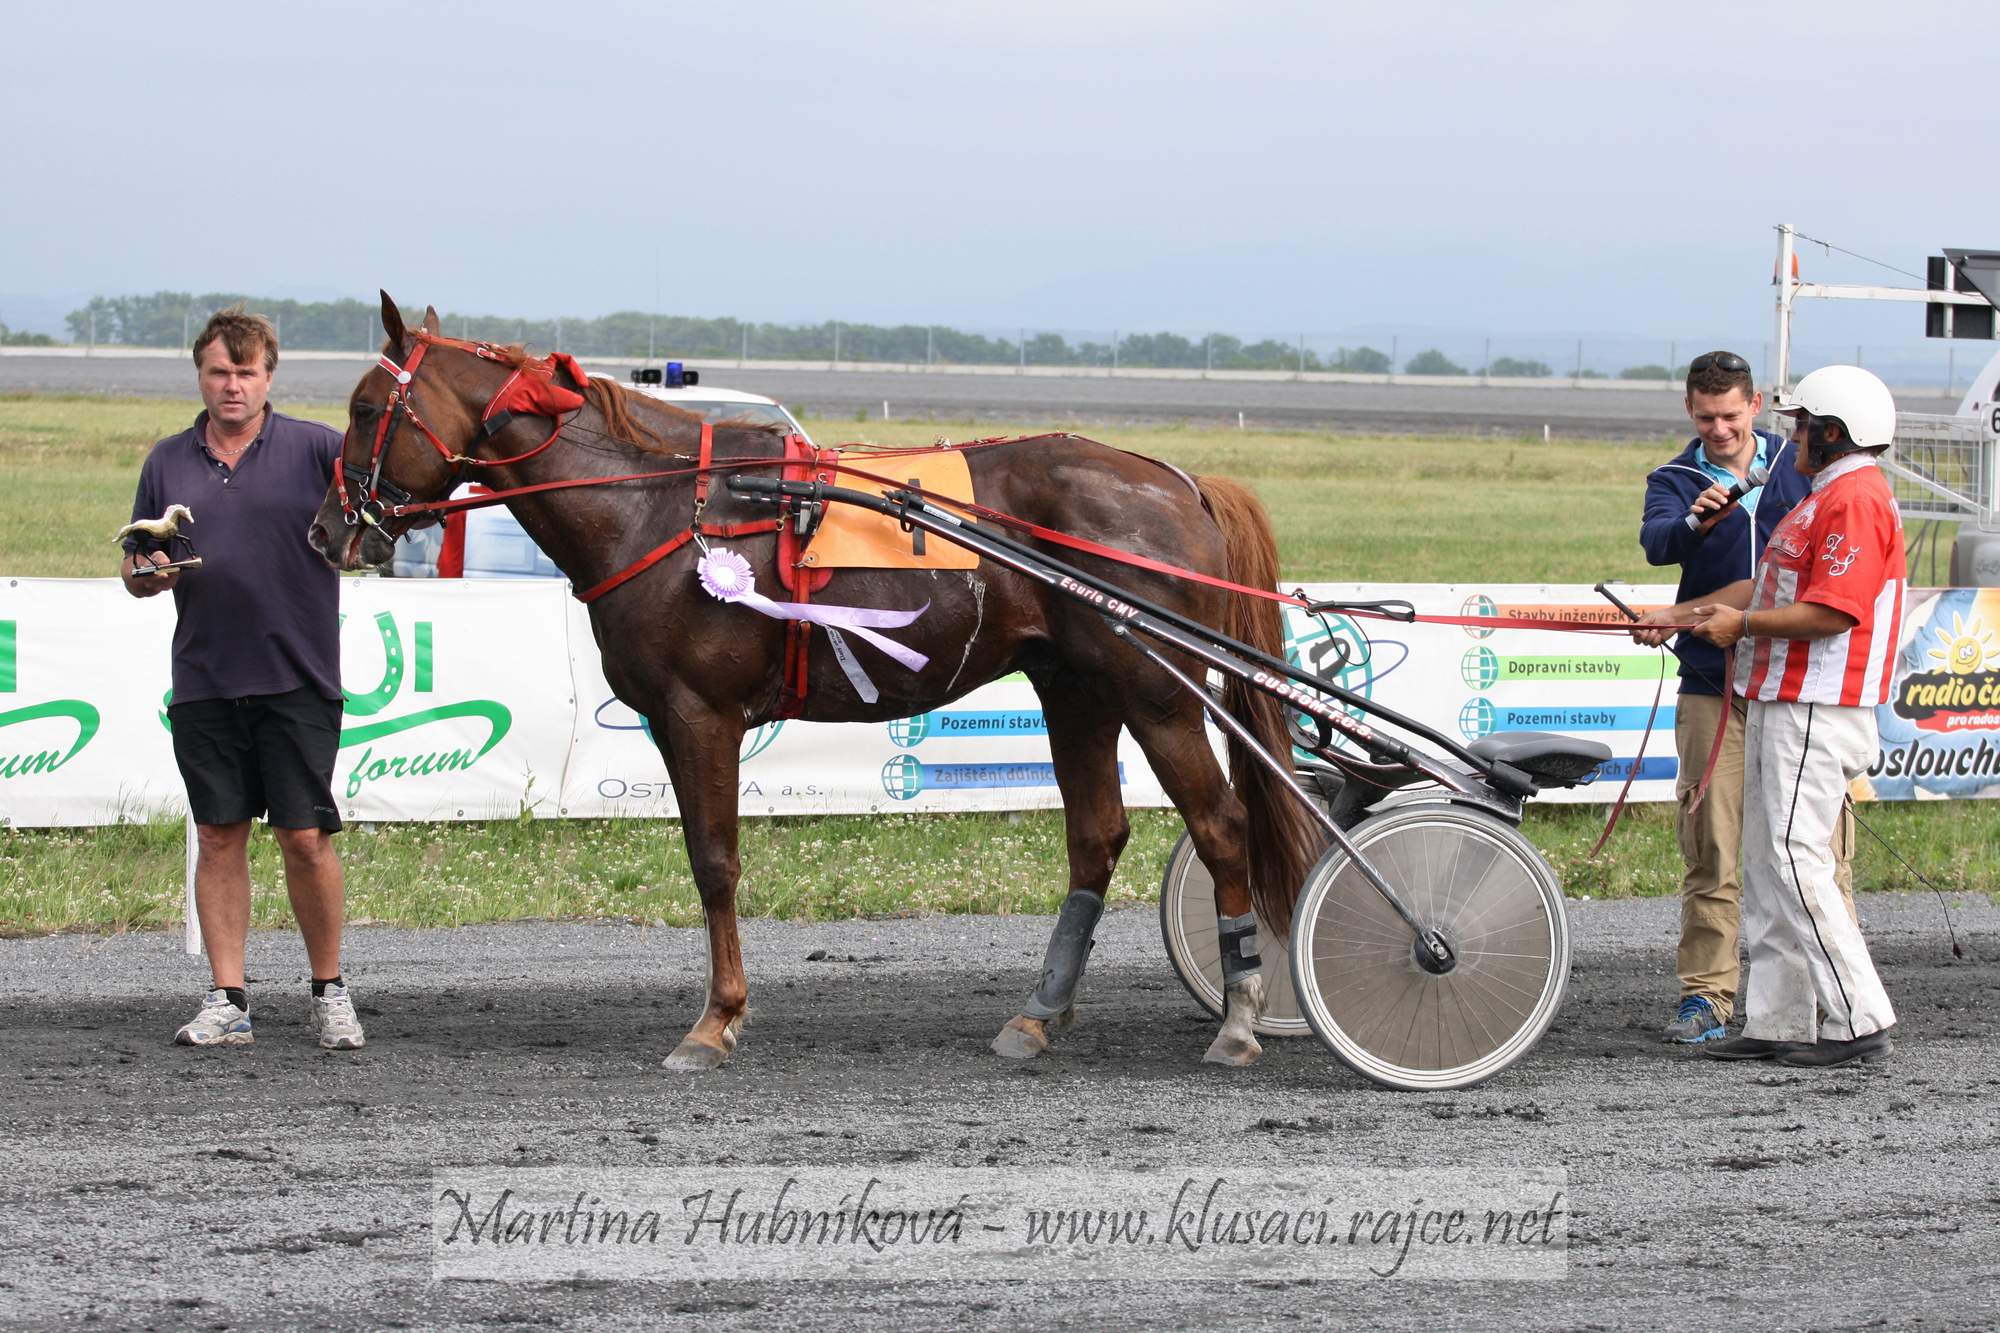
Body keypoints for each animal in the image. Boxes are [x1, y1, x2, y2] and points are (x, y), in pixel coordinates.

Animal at [304, 296, 1320, 1064]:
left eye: (365, 407)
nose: (326, 530)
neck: (657, 507)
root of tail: (1180, 483)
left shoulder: (700, 713)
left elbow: (714, 862)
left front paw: (715, 1021)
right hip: (1075, 687)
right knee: (1095, 837)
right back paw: (1036, 1016)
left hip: (1157, 693)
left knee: (1222, 825)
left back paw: (1237, 1017)